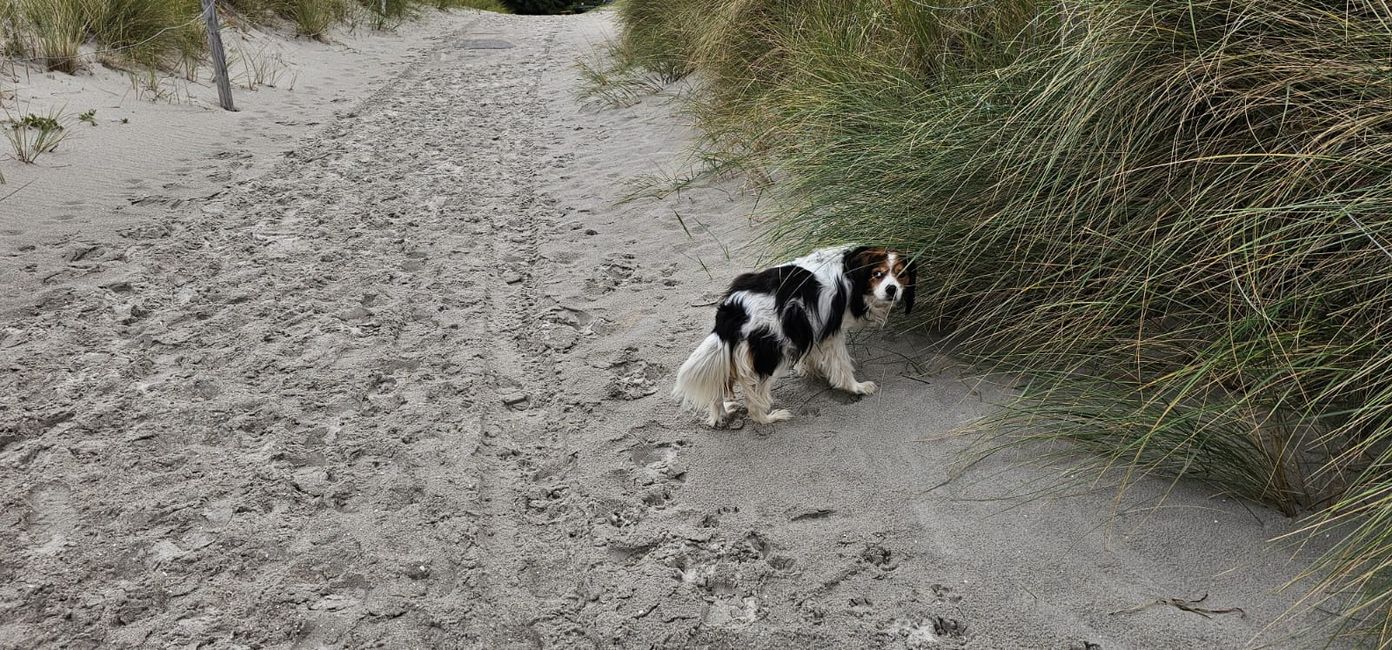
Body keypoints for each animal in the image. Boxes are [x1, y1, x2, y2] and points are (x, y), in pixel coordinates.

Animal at [670, 244, 913, 428]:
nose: (892, 289)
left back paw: (721, 415)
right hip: (771, 354)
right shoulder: (831, 332)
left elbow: (813, 355)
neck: (850, 270)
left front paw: (811, 370)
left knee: (719, 389)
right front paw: (856, 387)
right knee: (755, 401)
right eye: (877, 274)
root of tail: (734, 309)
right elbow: (842, 366)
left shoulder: (811, 326)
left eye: (901, 275)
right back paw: (769, 418)